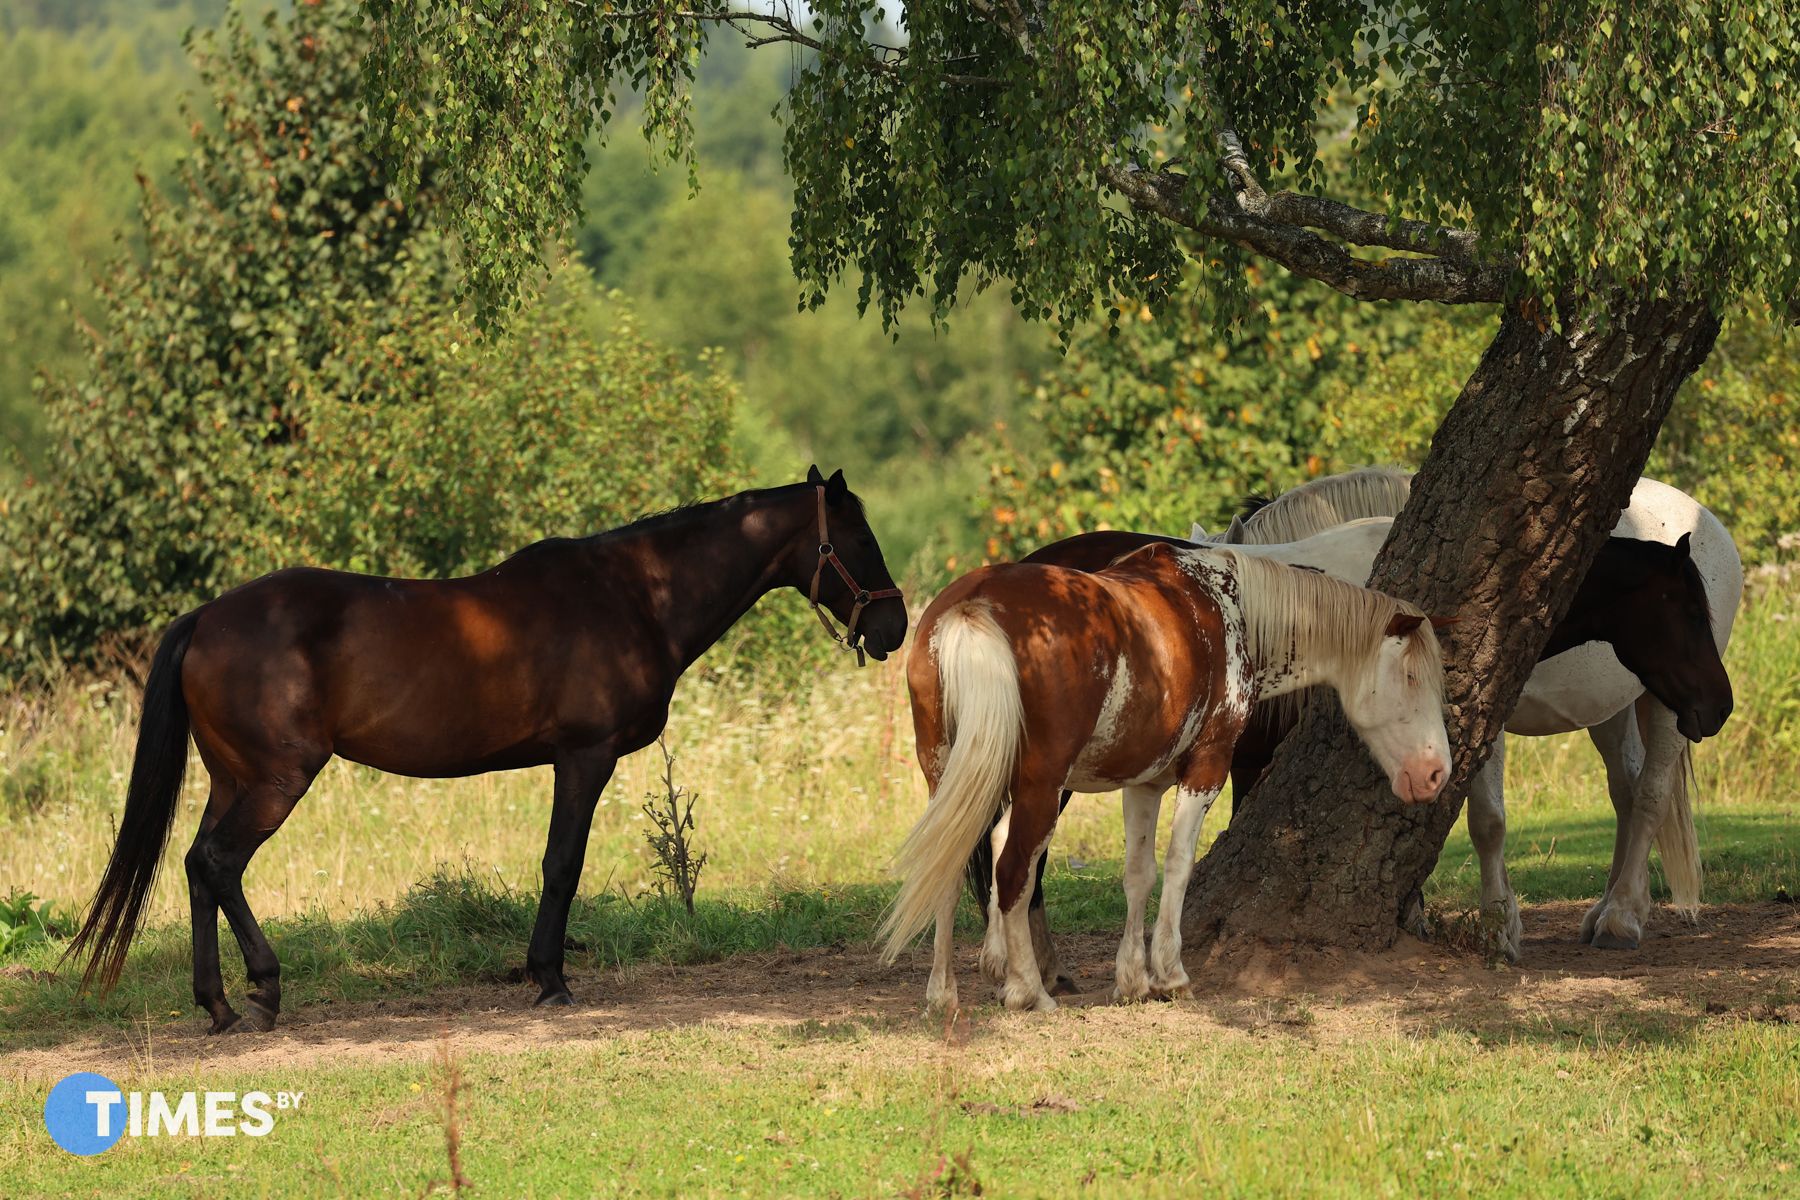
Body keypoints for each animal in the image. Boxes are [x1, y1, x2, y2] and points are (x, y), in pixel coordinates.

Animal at [66, 467, 906, 1033]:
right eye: (860, 539)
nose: (893, 627)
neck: (635, 593)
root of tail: (206, 617)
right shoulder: (584, 757)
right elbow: (562, 865)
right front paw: (550, 979)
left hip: (231, 778)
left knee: (198, 867)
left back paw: (218, 1003)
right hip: (277, 778)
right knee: (218, 863)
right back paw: (262, 989)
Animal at [880, 542, 1450, 1012]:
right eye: (1411, 677)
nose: (1435, 773)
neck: (1230, 609)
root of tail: (974, 606)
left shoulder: (1144, 782)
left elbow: (1139, 874)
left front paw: (1133, 980)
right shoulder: (1208, 768)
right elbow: (1178, 866)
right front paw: (1171, 975)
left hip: (950, 776)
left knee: (951, 864)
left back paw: (944, 994)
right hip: (1041, 788)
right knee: (1014, 871)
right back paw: (1029, 992)